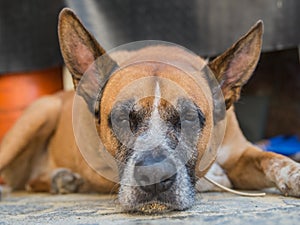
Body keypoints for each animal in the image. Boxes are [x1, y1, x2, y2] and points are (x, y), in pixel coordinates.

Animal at [0, 8, 300, 213]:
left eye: (190, 118)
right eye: (121, 119)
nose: (154, 176)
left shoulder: (240, 152)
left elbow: (273, 159)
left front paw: (294, 174)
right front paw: (213, 176)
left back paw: (59, 180)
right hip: (39, 113)